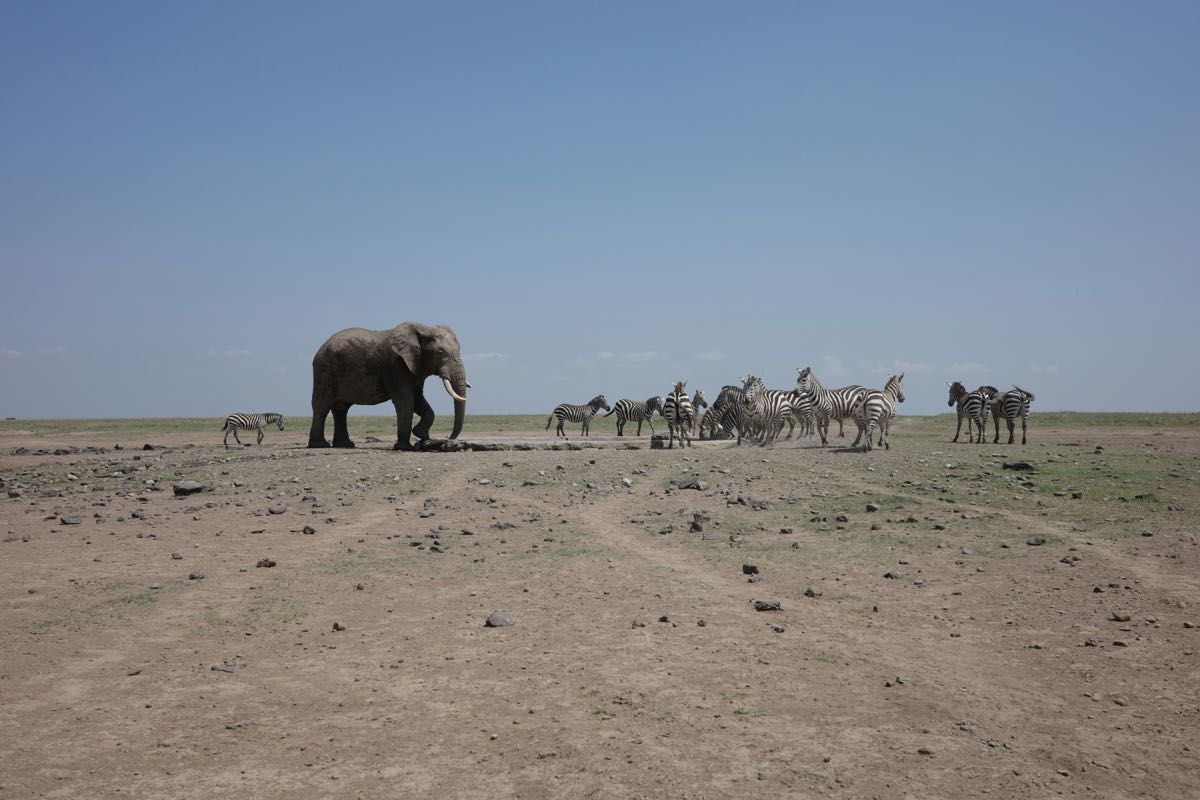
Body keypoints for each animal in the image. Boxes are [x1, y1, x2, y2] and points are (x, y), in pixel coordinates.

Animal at [308, 322, 470, 450]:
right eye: (439, 352)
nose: (449, 440)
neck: (424, 328)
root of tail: (320, 348)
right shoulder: (395, 365)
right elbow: (405, 400)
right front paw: (406, 447)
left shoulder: (415, 366)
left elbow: (418, 400)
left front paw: (421, 434)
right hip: (325, 370)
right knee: (322, 406)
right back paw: (319, 445)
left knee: (341, 409)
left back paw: (345, 445)